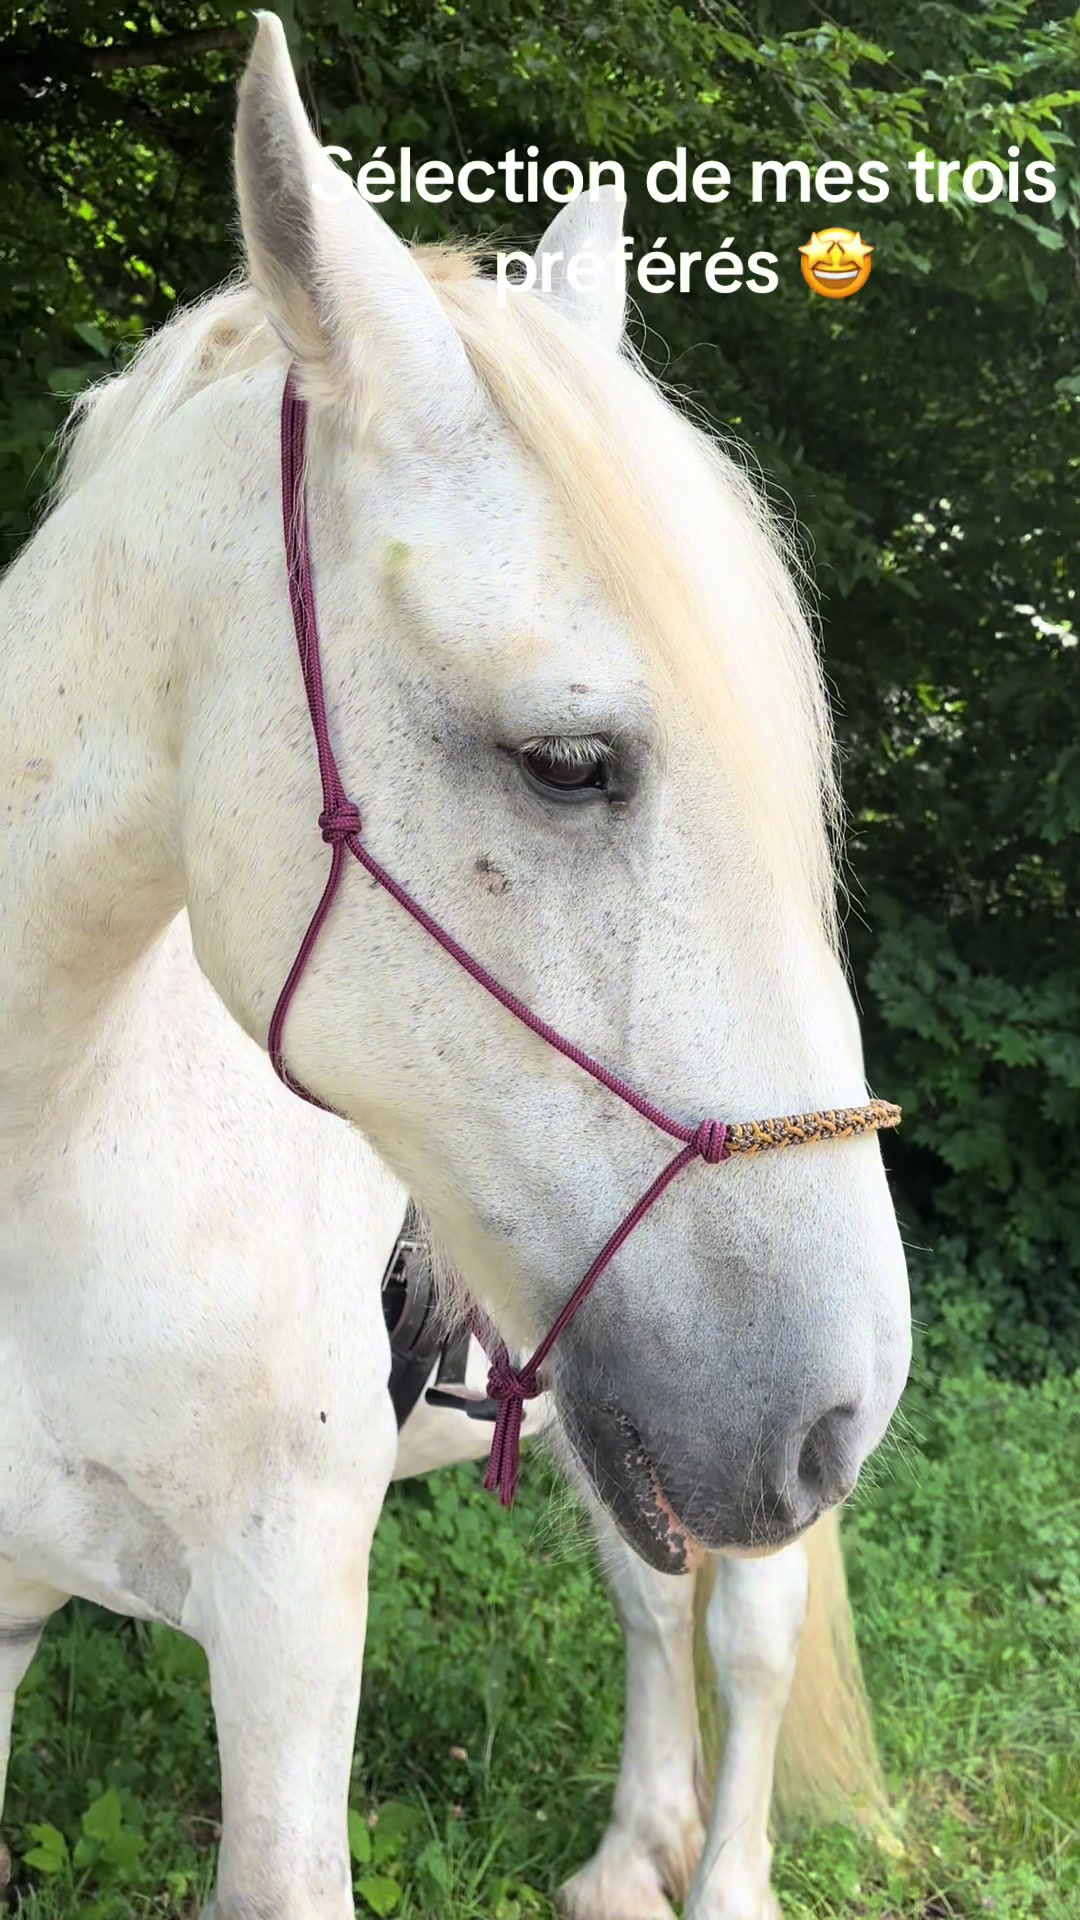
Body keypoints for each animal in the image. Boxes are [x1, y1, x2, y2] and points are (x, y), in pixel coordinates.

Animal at [0, 14, 910, 1918]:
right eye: (568, 762)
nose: (842, 1399)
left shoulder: (286, 1627)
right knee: (651, 1592)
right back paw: (625, 1853)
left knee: (747, 1639)